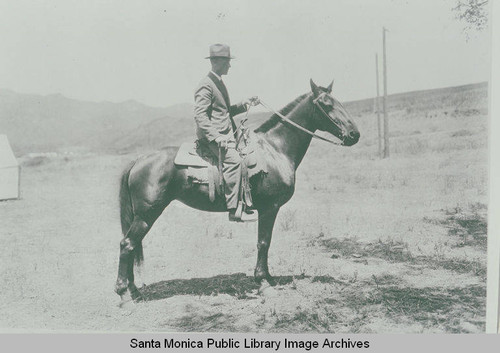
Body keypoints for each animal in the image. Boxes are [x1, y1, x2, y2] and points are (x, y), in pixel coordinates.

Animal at [115, 80, 360, 302]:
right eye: (327, 104)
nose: (354, 134)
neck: (275, 150)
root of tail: (139, 160)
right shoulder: (269, 208)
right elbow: (263, 242)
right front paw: (262, 282)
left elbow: (266, 242)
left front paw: (268, 278)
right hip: (146, 215)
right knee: (127, 245)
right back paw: (124, 294)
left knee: (130, 245)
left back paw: (134, 291)